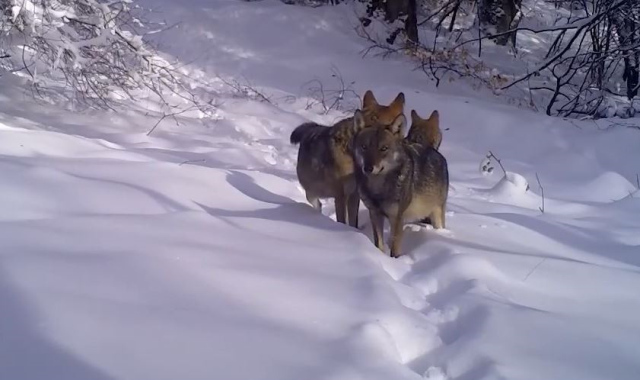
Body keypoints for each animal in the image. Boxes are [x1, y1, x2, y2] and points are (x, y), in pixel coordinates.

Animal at [290, 90, 404, 227]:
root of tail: (313, 127)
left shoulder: (354, 194)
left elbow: (353, 221)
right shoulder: (340, 195)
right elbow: (342, 220)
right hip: (311, 192)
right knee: (317, 204)